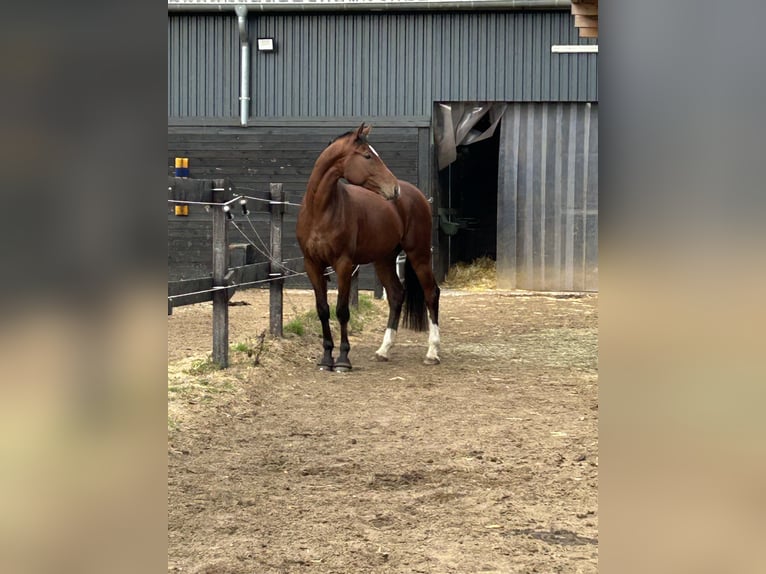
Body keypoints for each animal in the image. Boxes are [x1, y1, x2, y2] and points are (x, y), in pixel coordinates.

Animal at [296, 123, 441, 372]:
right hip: (383, 260)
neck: (321, 211)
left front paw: (343, 360)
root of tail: (417, 194)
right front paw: (326, 359)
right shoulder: (312, 265)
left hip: (419, 255)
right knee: (396, 295)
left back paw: (432, 352)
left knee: (431, 294)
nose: (394, 189)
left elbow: (342, 311)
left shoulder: (344, 265)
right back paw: (383, 350)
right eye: (367, 156)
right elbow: (323, 310)